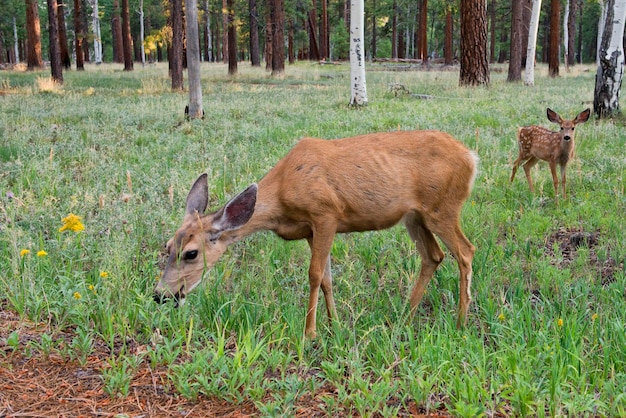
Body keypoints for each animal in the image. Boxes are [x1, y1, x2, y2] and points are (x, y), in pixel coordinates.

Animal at [154, 131, 476, 340]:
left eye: (191, 253)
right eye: (167, 246)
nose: (161, 295)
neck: (283, 193)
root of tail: (471, 157)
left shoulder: (326, 214)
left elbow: (313, 274)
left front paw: (309, 332)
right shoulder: (310, 229)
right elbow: (326, 279)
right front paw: (334, 326)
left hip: (442, 208)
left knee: (466, 251)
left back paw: (460, 322)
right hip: (415, 216)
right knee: (433, 256)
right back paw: (405, 317)